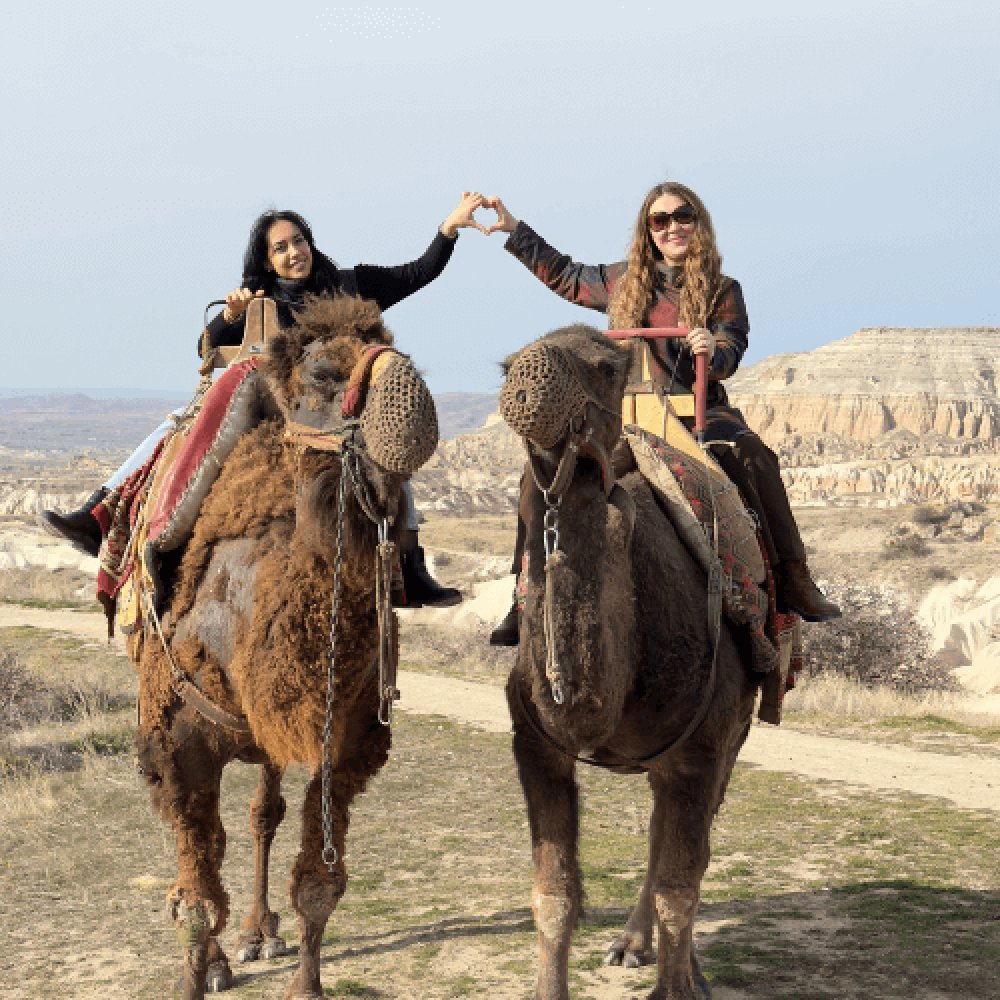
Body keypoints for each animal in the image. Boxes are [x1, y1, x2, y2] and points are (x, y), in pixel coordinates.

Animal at [129, 295, 438, 1000]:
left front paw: (305, 982)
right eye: (325, 372)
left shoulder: (346, 739)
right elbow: (193, 898)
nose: (412, 400)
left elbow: (320, 882)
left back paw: (259, 931)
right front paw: (201, 970)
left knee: (262, 811)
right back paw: (228, 953)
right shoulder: (178, 739)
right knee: (213, 843)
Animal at [499, 324, 759, 1000]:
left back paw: (680, 964)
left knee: (692, 853)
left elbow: (679, 889)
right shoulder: (533, 744)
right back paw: (636, 946)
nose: (527, 382)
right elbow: (553, 895)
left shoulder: (701, 750)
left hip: (733, 734)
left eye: (607, 366)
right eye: (504, 366)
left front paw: (678, 987)